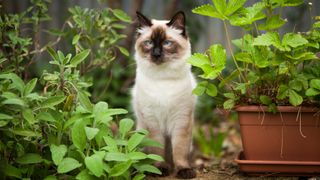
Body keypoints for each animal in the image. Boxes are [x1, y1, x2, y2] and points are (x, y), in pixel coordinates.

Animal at [131, 11, 196, 179]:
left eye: (167, 43)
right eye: (148, 43)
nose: (156, 54)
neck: (163, 79)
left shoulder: (181, 120)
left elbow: (179, 151)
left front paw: (183, 171)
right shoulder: (153, 121)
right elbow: (157, 150)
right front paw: (159, 169)